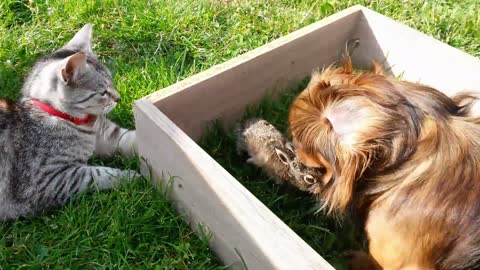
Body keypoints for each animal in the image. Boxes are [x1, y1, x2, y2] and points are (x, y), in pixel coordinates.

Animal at [0, 24, 139, 220]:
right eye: (103, 92)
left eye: (112, 82)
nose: (119, 98)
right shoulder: (49, 180)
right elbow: (97, 174)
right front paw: (132, 176)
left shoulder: (110, 136)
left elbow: (135, 139)